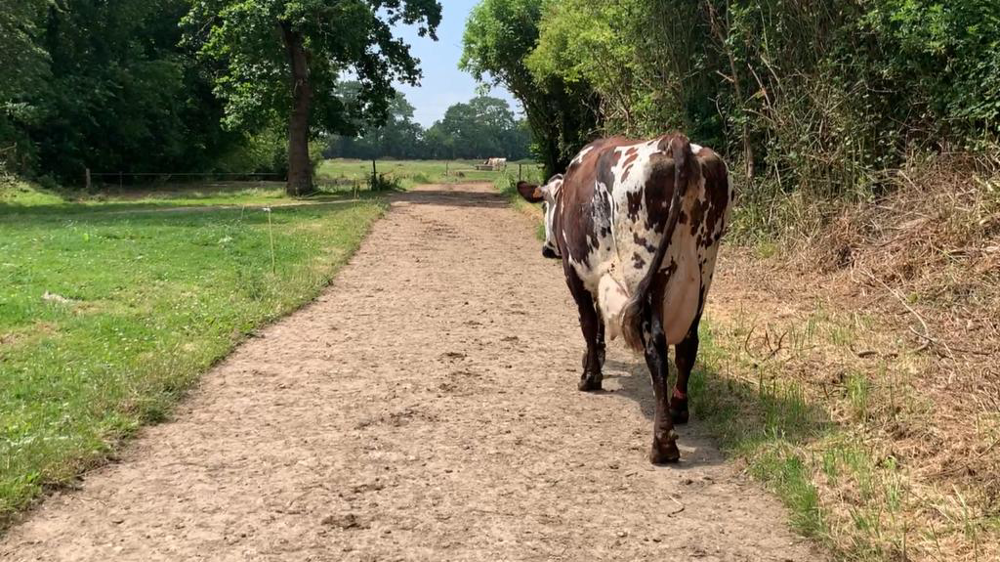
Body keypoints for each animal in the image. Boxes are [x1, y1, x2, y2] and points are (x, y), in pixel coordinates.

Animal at [516, 134, 733, 464]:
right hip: (704, 268)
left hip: (646, 266)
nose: (547, 249)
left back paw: (663, 441)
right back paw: (679, 409)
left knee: (656, 346)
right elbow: (599, 323)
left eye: (545, 205)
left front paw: (590, 375)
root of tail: (673, 141)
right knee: (688, 344)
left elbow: (589, 323)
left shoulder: (575, 273)